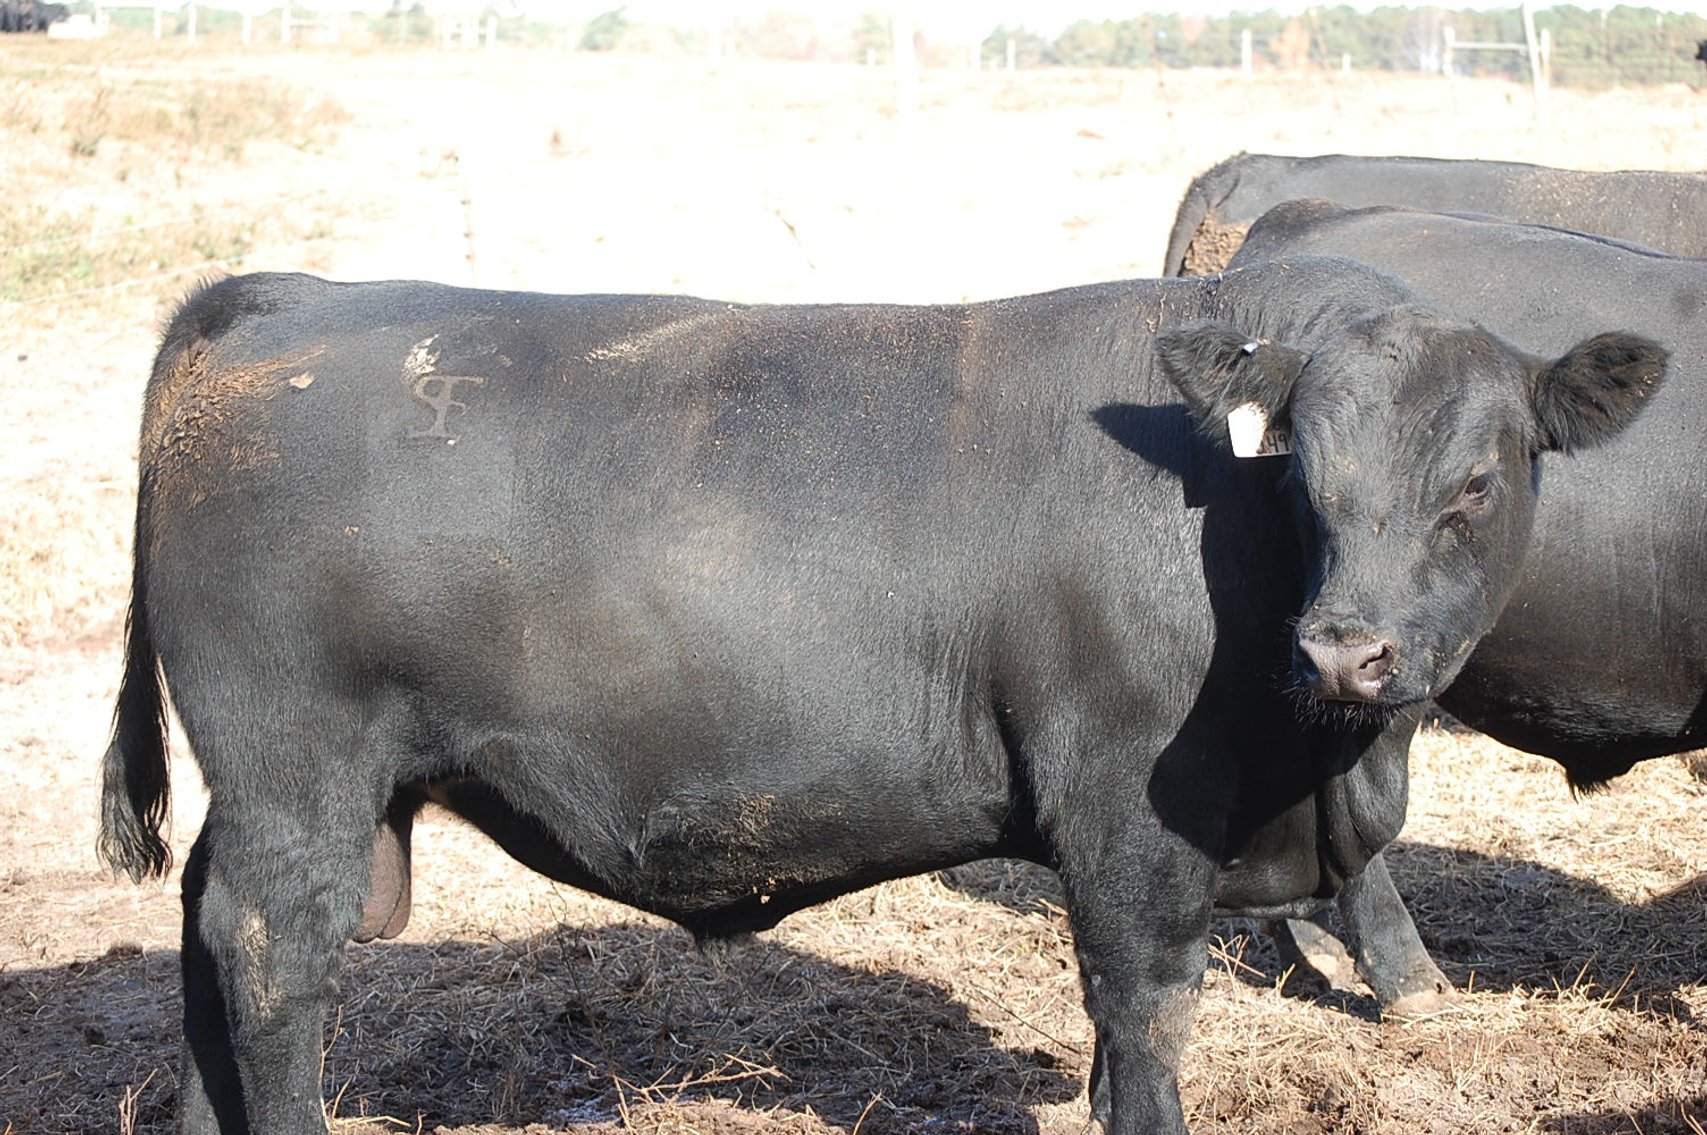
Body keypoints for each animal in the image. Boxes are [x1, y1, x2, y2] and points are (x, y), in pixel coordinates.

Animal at [98, 264, 1661, 1134]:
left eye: (1478, 479)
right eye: (1306, 471)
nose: (1348, 653)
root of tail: (288, 295)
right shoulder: (1130, 830)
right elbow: (1142, 1030)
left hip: (275, 795)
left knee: (203, 936)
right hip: (300, 777)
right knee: (268, 958)